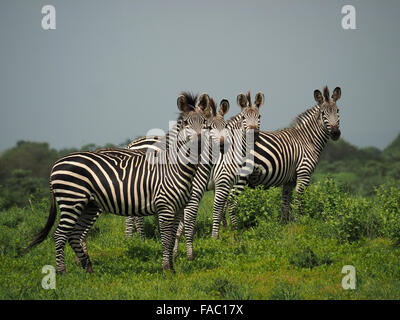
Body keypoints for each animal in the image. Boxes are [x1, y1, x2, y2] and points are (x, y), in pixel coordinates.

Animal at [26, 92, 214, 272]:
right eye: (185, 123)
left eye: (205, 122)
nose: (198, 142)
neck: (176, 167)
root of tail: (55, 165)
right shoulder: (165, 206)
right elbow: (166, 239)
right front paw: (167, 269)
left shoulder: (178, 208)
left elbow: (173, 237)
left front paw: (172, 268)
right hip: (71, 201)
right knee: (59, 235)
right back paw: (62, 272)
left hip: (88, 205)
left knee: (74, 235)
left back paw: (89, 270)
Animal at [219, 85, 340, 230]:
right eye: (323, 113)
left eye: (338, 111)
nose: (336, 133)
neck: (307, 139)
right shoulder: (304, 173)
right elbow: (298, 201)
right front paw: (298, 223)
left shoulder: (290, 179)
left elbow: (285, 203)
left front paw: (284, 225)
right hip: (240, 177)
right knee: (230, 203)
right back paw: (235, 230)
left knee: (223, 204)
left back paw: (225, 229)